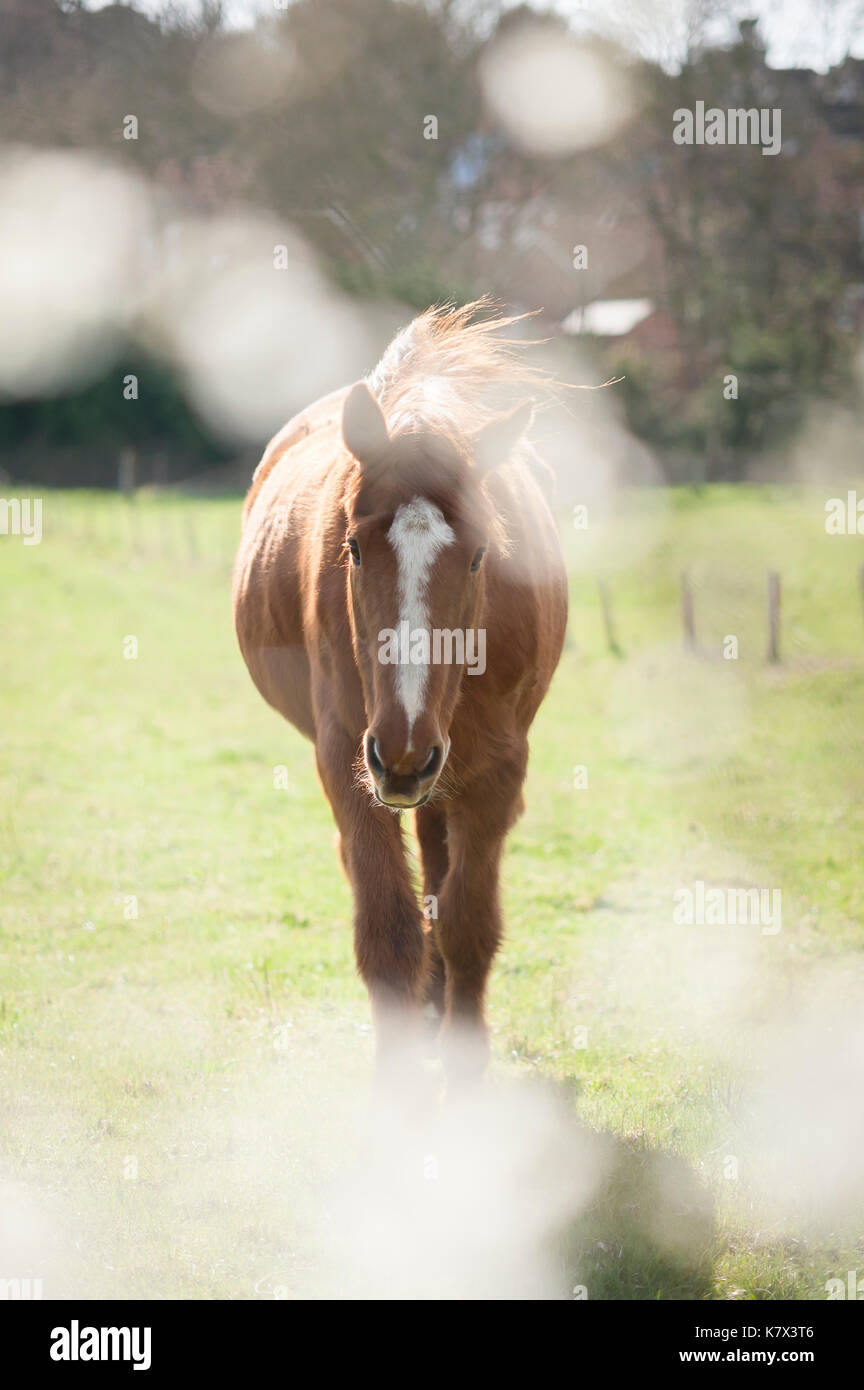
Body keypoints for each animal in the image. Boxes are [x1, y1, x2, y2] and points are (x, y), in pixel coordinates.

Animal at [233, 301, 568, 1088]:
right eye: (353, 548)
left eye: (480, 556)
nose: (406, 751)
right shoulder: (351, 763)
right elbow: (387, 933)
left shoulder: (497, 769)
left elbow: (469, 925)